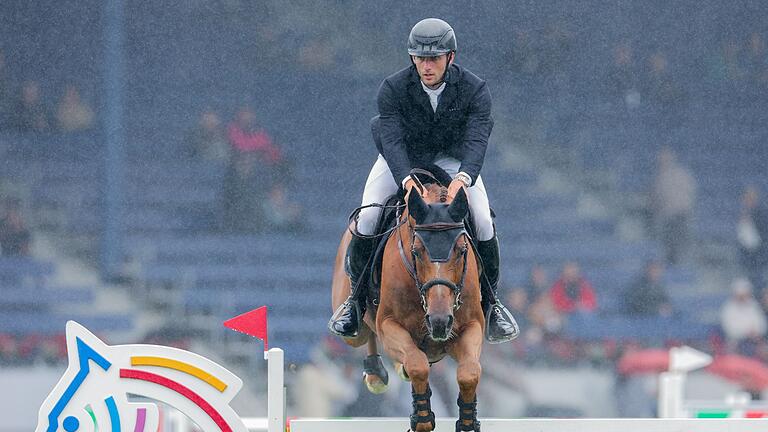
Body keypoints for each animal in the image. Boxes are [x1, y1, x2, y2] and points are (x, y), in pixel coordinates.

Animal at [332, 178, 486, 432]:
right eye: (416, 251)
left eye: (462, 250)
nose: (439, 322)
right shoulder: (388, 325)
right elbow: (416, 364)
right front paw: (422, 418)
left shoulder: (471, 327)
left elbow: (470, 372)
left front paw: (468, 421)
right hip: (353, 333)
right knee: (365, 333)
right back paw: (375, 372)